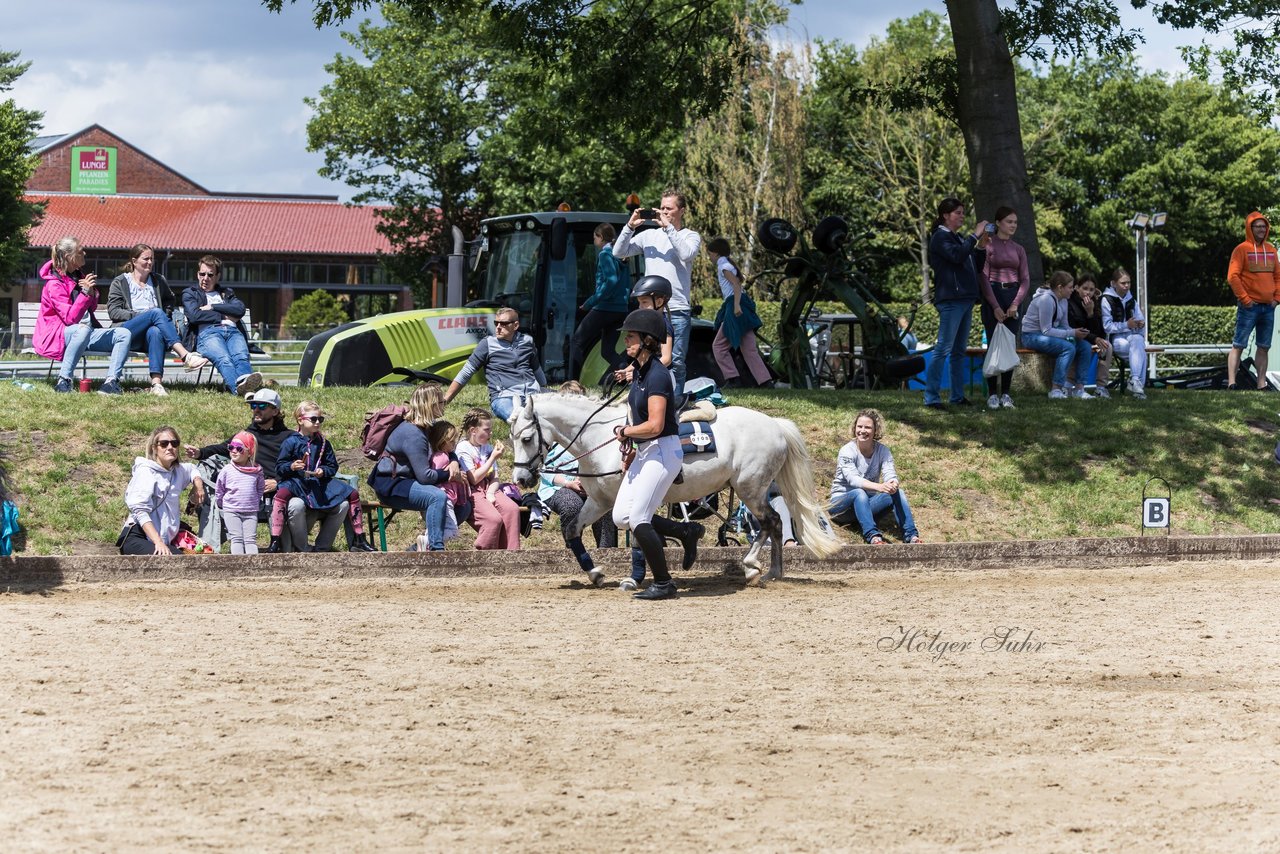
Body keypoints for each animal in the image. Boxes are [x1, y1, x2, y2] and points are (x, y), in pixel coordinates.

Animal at [509, 391, 839, 583]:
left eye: (526, 438)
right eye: (512, 438)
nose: (521, 479)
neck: (602, 439)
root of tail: (775, 424)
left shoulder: (624, 498)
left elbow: (639, 533)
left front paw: (635, 576)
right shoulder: (600, 500)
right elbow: (572, 530)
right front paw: (595, 573)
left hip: (751, 488)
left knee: (771, 522)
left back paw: (762, 568)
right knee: (773, 523)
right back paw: (764, 569)